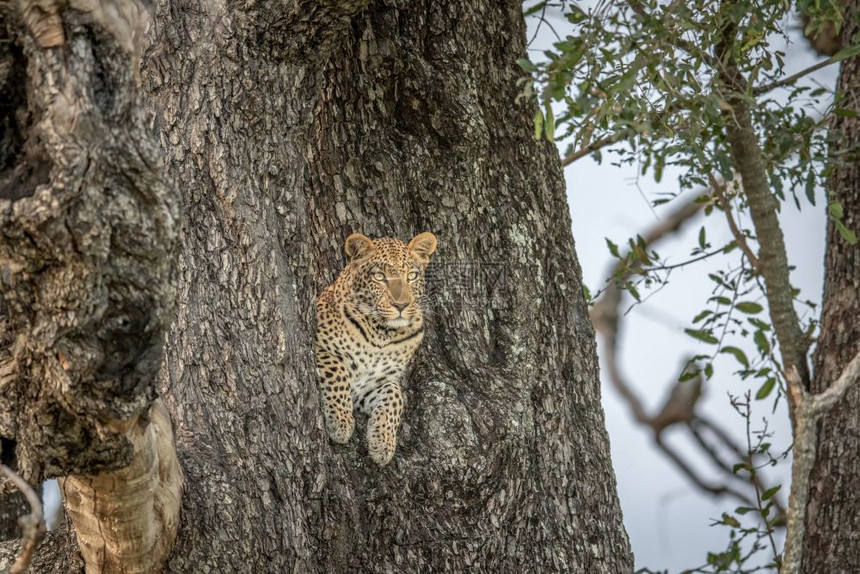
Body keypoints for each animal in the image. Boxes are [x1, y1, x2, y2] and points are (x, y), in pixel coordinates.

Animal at [314, 232, 436, 466]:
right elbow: (338, 372)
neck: (382, 335)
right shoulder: (319, 346)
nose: (401, 305)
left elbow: (395, 397)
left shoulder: (376, 382)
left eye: (412, 276)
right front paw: (341, 422)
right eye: (379, 277)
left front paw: (383, 443)